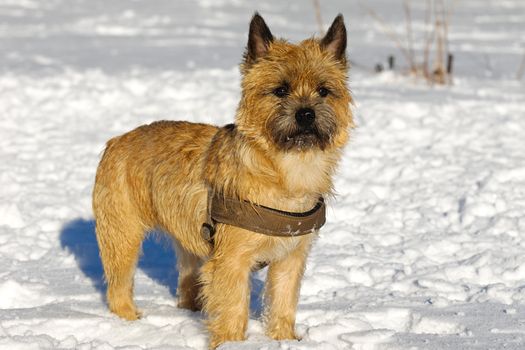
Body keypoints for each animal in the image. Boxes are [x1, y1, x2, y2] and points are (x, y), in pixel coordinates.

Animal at [93, 12, 352, 348]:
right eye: (280, 90)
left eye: (324, 90)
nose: (306, 114)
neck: (286, 171)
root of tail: (115, 141)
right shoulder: (231, 261)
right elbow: (232, 310)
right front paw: (231, 342)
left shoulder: (290, 259)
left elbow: (283, 304)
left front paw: (282, 338)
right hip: (122, 235)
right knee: (118, 286)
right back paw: (131, 323)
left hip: (188, 245)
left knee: (187, 283)